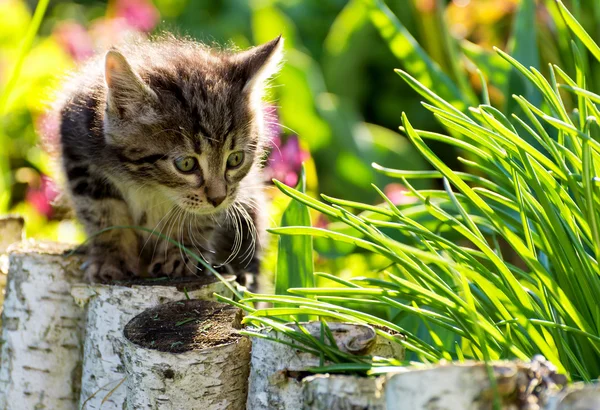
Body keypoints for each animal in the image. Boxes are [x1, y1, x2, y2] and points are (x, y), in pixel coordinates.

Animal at [56, 34, 282, 286]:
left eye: (235, 159)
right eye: (186, 164)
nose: (218, 198)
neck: (147, 184)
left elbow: (196, 217)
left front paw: (180, 255)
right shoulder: (79, 156)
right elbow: (104, 214)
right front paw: (111, 259)